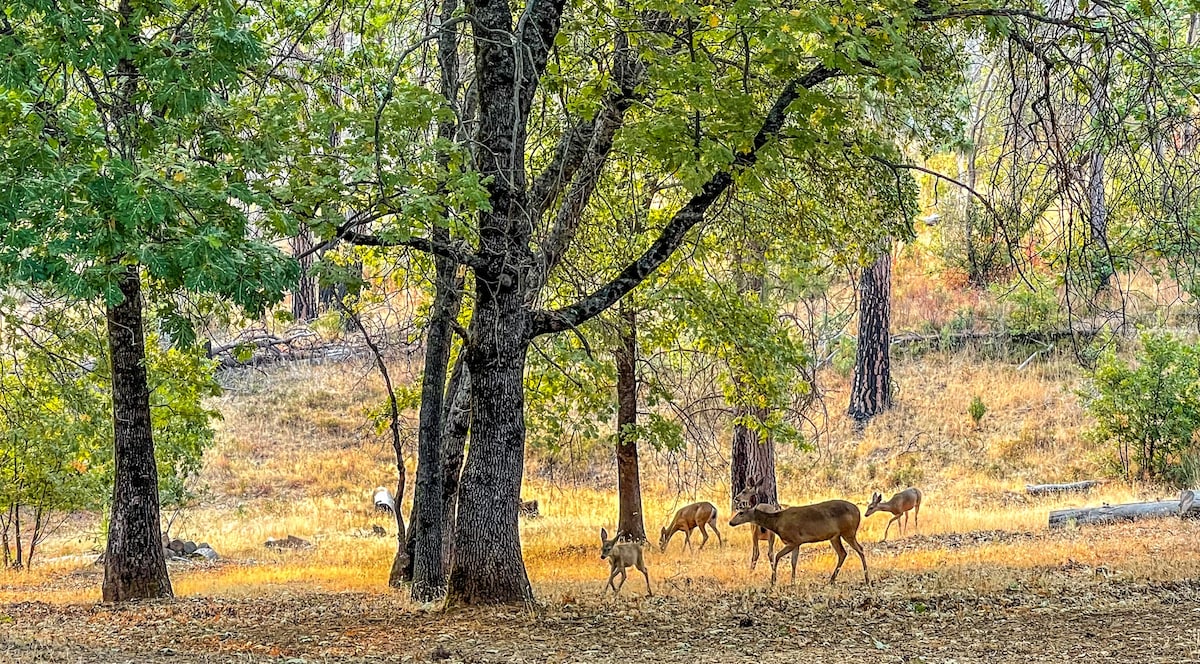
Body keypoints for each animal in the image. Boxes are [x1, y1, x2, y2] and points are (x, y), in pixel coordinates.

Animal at [724, 499, 868, 583]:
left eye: (741, 513)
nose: (731, 522)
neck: (777, 523)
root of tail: (858, 511)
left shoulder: (793, 540)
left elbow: (777, 556)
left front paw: (773, 580)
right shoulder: (797, 543)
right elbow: (793, 562)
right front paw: (792, 582)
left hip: (848, 532)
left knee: (860, 549)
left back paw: (866, 578)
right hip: (835, 536)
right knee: (843, 553)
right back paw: (832, 580)